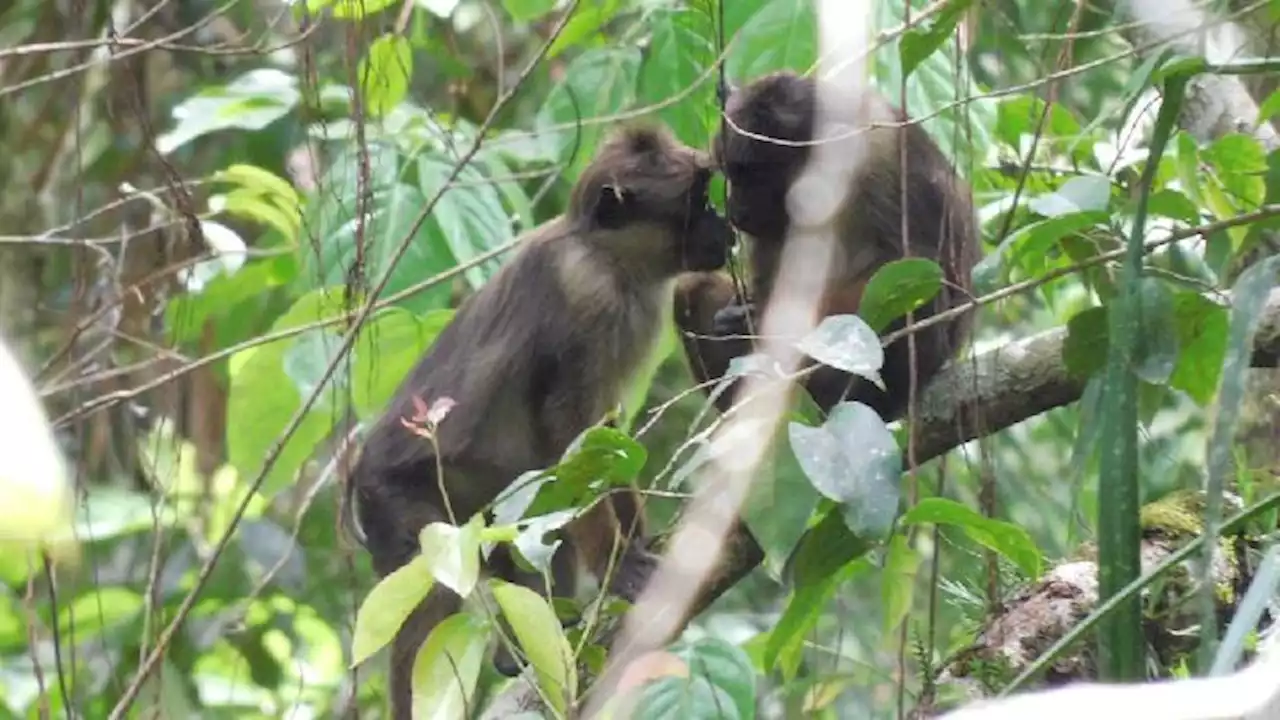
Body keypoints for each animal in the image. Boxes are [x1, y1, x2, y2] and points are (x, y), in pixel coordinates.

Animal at [345, 124, 737, 717]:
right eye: (697, 202)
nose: (724, 224)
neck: (605, 255)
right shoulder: (588, 294)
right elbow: (570, 434)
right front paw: (620, 565)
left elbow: (604, 438)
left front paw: (636, 545)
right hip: (399, 501)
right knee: (432, 587)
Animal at [675, 69, 972, 417]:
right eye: (732, 176)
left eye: (755, 176)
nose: (736, 210)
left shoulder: (880, 154)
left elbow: (914, 265)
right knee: (689, 289)